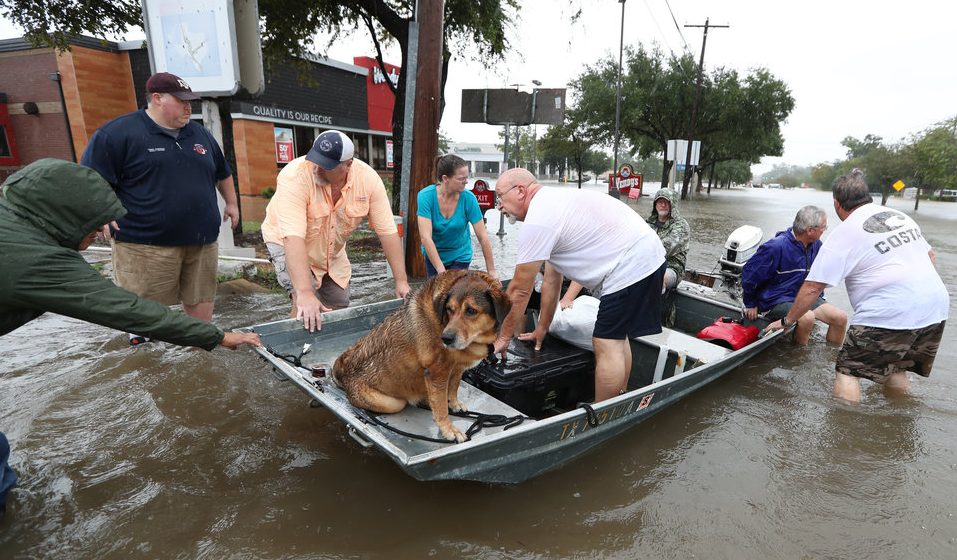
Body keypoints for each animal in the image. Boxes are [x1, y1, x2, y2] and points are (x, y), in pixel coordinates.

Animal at [332, 270, 508, 442]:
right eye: (449, 309)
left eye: (471, 310)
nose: (446, 338)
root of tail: (345, 377)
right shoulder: (437, 372)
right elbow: (441, 407)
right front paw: (448, 429)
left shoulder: (456, 368)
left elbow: (453, 388)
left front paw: (454, 403)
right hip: (392, 403)